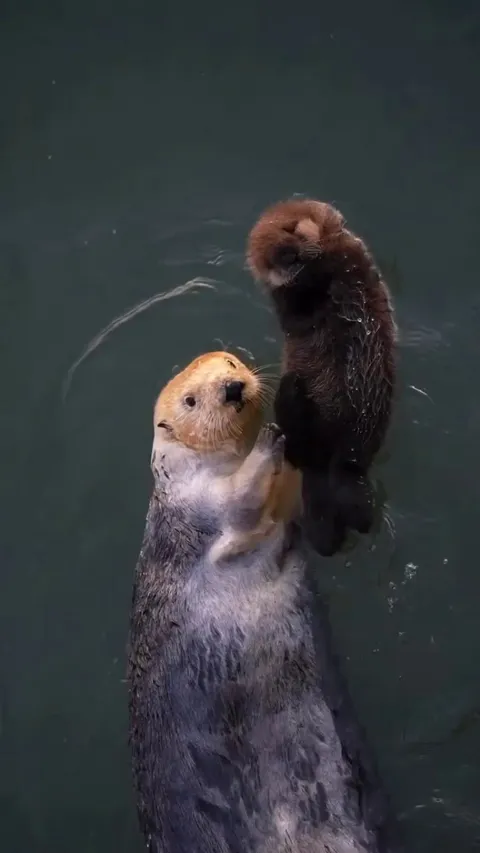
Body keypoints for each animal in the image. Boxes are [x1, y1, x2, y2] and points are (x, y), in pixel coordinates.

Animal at [127, 351, 398, 853]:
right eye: (191, 400)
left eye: (231, 363)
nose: (232, 388)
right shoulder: (203, 505)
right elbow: (242, 501)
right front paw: (271, 437)